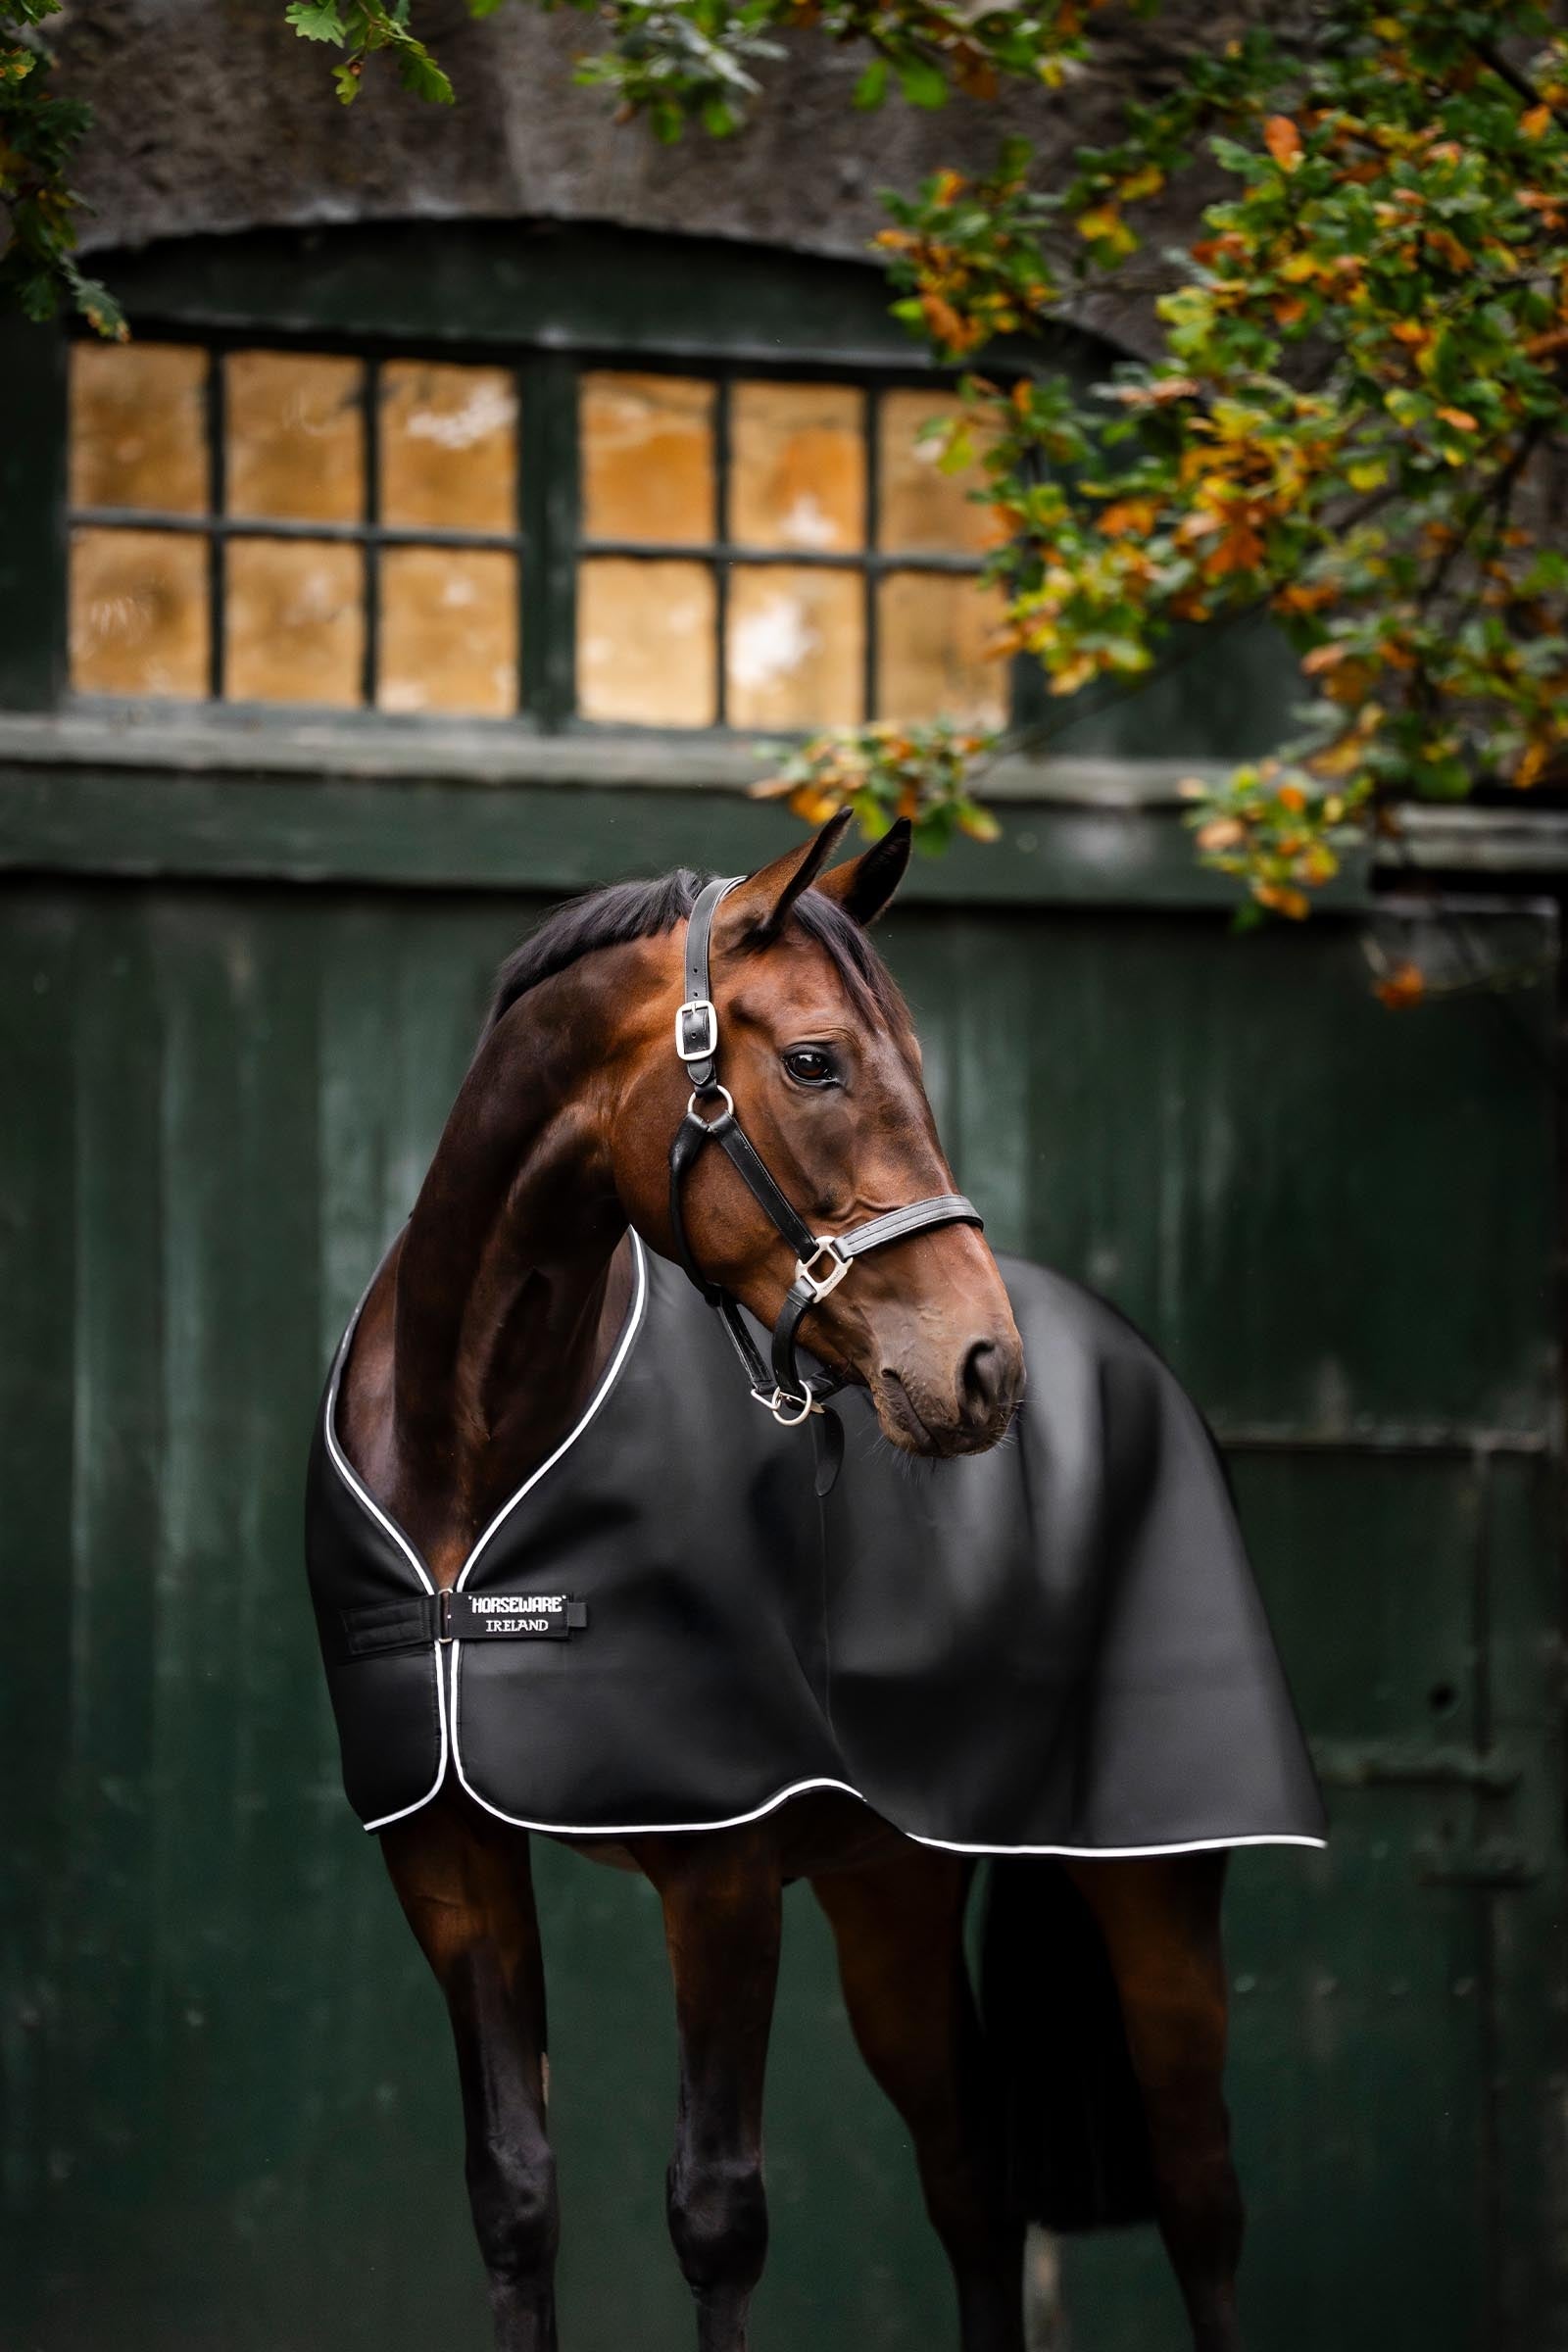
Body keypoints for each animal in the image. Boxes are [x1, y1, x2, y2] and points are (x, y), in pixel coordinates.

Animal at [318, 813, 1310, 2352]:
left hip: (1154, 1890)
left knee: (1201, 2200)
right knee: (972, 2184)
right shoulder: (445, 1849)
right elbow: (516, 2195)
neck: (468, 1461)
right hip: (891, 1891)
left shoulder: (720, 1864)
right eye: (812, 1062)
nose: (980, 1368)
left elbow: (717, 2215)